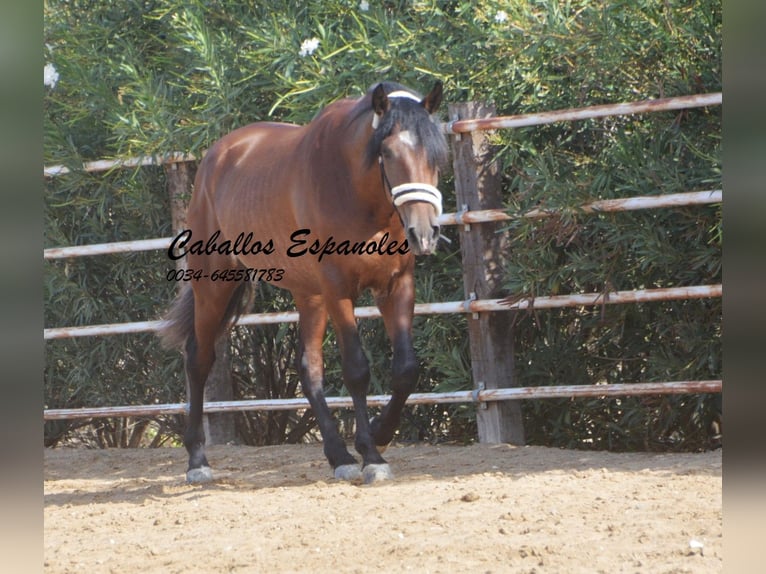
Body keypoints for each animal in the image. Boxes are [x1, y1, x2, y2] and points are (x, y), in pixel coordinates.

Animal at [162, 81, 450, 486]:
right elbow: (357, 370)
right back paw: (197, 460)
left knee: (307, 367)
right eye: (388, 151)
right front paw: (372, 455)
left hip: (307, 294)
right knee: (198, 359)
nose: (424, 233)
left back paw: (338, 455)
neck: (355, 189)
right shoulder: (337, 290)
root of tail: (216, 156)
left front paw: (379, 434)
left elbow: (406, 369)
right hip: (215, 286)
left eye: (437, 153)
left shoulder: (396, 286)